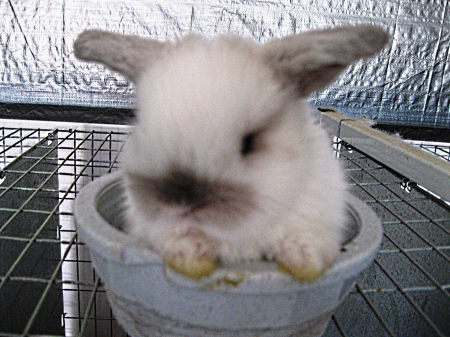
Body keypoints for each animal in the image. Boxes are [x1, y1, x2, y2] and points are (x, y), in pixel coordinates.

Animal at [74, 24, 390, 280]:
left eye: (249, 142)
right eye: (143, 124)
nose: (179, 204)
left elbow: (304, 240)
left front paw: (305, 264)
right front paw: (191, 258)